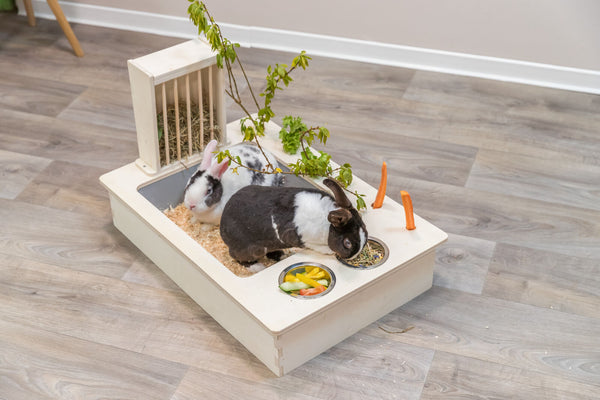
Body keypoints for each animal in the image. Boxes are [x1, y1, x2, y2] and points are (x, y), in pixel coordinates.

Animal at [220, 178, 368, 262]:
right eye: (347, 243)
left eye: (365, 229)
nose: (353, 256)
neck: (327, 226)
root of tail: (222, 227)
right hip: (252, 250)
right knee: (238, 257)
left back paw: (280, 256)